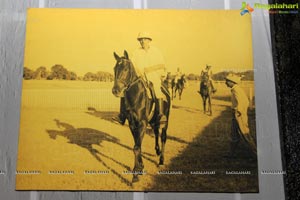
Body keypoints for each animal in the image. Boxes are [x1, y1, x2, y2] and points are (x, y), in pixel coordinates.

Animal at [111, 50, 171, 183]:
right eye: (114, 68)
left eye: (126, 69)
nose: (115, 90)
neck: (136, 96)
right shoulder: (132, 124)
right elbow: (137, 146)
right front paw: (140, 168)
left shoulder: (142, 123)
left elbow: (136, 147)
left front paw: (135, 174)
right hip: (153, 121)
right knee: (156, 132)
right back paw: (157, 150)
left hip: (165, 121)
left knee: (163, 137)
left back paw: (161, 160)